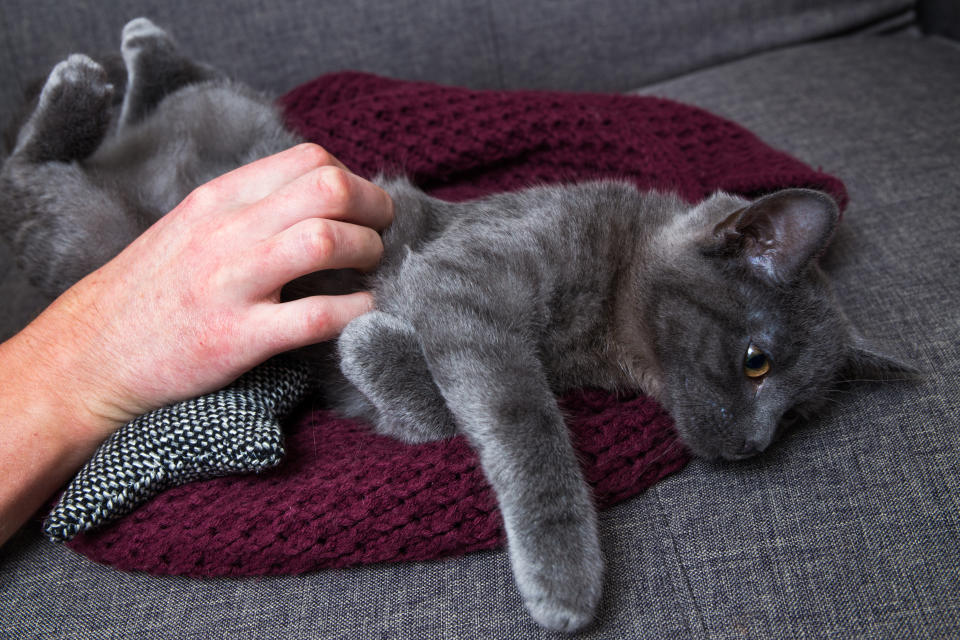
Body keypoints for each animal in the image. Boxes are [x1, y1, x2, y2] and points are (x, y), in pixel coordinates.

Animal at [0, 17, 908, 632]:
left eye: (798, 416)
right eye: (757, 362)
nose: (755, 448)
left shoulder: (414, 358)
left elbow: (420, 404)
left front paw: (373, 344)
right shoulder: (469, 277)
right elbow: (526, 421)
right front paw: (566, 583)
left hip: (237, 123)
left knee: (176, 93)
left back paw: (135, 50)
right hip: (85, 232)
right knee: (29, 172)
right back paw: (78, 85)